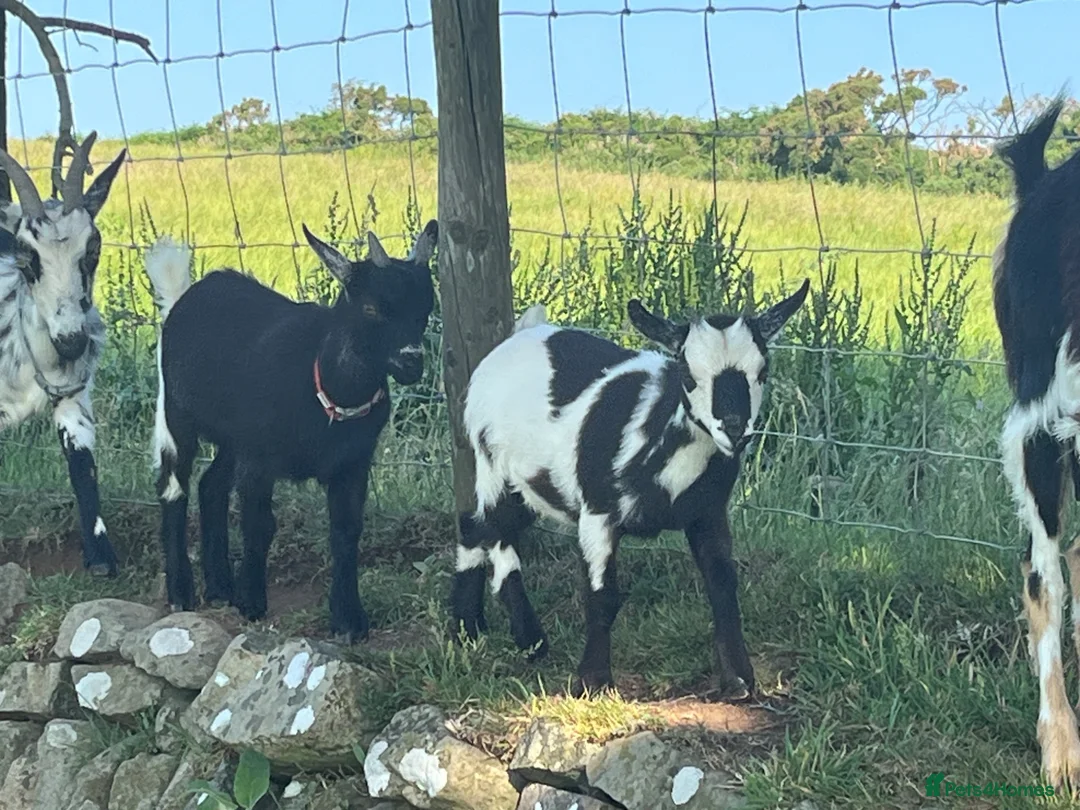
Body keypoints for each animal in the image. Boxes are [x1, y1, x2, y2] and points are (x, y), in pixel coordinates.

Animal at [0, 133, 125, 576]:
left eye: (94, 248)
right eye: (26, 255)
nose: (72, 340)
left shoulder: (73, 392)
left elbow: (81, 461)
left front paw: (101, 558)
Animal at [145, 220, 438, 641]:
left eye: (425, 308)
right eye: (371, 307)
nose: (411, 363)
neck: (326, 392)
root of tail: (185, 296)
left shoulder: (353, 465)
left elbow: (346, 532)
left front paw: (349, 620)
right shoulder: (258, 460)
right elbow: (259, 524)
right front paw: (251, 602)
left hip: (233, 439)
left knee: (211, 484)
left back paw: (219, 587)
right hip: (176, 414)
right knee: (173, 487)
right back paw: (182, 593)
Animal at [452, 281, 809, 696]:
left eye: (762, 371)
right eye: (688, 373)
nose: (735, 429)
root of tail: (524, 332)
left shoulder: (708, 512)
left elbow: (722, 588)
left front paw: (738, 681)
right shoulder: (598, 512)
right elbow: (603, 597)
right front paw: (592, 682)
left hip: (528, 485)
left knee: (477, 526)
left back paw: (472, 629)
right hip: (494, 464)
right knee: (491, 530)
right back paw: (519, 638)